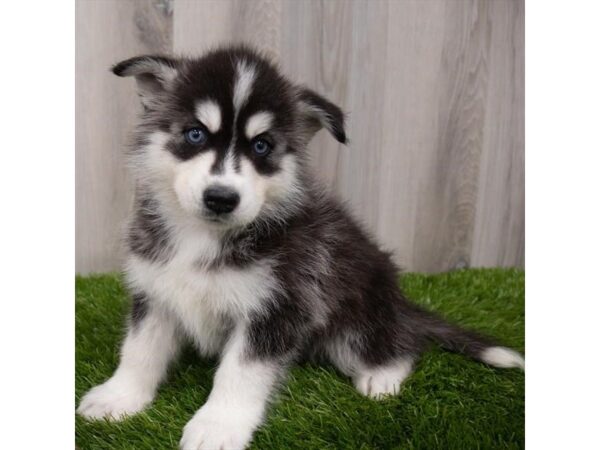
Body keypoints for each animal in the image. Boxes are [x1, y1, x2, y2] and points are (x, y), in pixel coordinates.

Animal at [77, 45, 524, 450]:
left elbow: (239, 373)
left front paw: (218, 425)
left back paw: (381, 376)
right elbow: (139, 350)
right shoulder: (156, 291)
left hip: (356, 318)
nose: (221, 198)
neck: (203, 236)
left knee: (402, 345)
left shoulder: (280, 306)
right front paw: (119, 397)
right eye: (195, 133)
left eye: (262, 146)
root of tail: (400, 304)